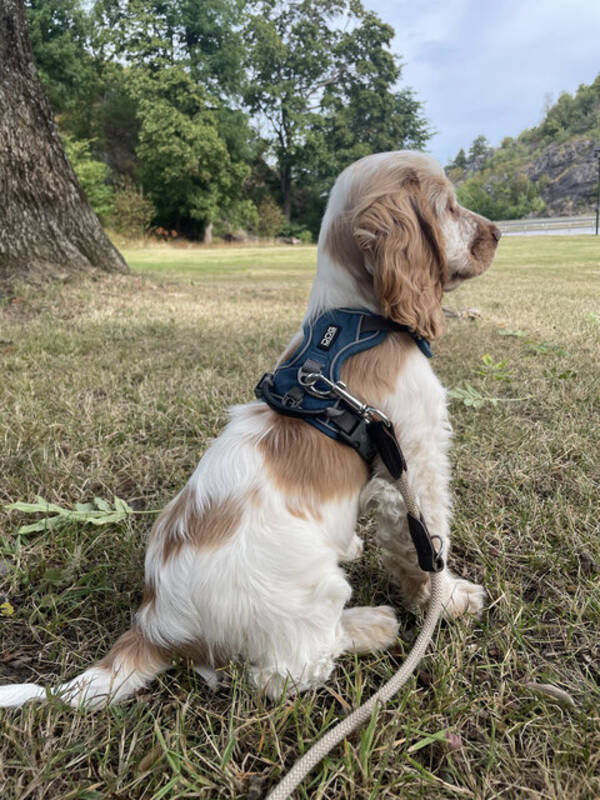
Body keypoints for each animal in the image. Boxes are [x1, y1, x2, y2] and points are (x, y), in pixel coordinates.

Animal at [0, 148, 502, 708]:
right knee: (284, 673)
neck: (356, 317)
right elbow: (424, 546)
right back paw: (371, 625)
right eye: (449, 206)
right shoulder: (411, 461)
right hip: (308, 598)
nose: (499, 232)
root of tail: (155, 626)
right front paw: (448, 599)